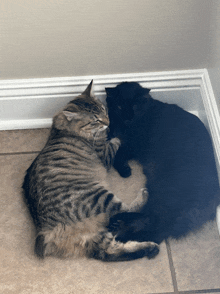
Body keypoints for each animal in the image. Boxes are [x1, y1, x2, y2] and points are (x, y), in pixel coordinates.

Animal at [22, 81, 159, 262]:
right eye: (95, 120)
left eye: (103, 110)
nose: (108, 122)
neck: (66, 129)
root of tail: (47, 230)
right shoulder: (105, 153)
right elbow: (115, 140)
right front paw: (116, 132)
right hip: (100, 197)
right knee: (123, 212)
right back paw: (144, 198)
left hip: (96, 232)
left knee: (109, 250)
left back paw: (149, 248)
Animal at [105, 82, 219, 243]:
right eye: (120, 107)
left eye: (134, 106)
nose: (128, 117)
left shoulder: (134, 144)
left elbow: (118, 153)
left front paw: (125, 171)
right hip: (157, 192)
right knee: (153, 223)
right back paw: (120, 223)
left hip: (164, 194)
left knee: (156, 228)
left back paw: (124, 233)